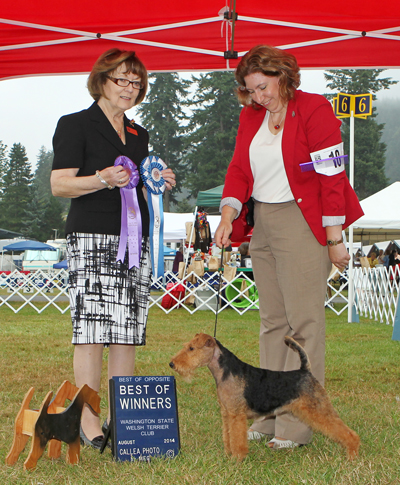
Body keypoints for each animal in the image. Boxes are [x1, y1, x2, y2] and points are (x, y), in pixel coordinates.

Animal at [169, 330, 360, 460]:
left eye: (191, 348)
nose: (172, 364)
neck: (225, 372)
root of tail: (305, 371)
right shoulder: (227, 413)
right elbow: (228, 435)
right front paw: (228, 454)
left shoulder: (237, 415)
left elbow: (237, 437)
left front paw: (237, 458)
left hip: (319, 408)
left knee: (347, 432)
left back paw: (352, 454)